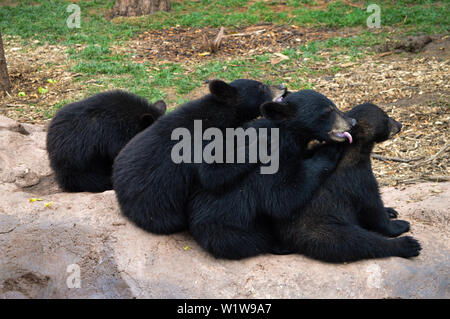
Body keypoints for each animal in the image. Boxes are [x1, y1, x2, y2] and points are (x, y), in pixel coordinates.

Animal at [113, 79, 288, 235]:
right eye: (261, 87)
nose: (283, 86)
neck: (221, 116)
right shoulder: (201, 145)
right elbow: (213, 174)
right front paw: (264, 142)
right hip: (158, 207)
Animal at [186, 90, 356, 260]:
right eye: (327, 111)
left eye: (334, 106)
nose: (352, 122)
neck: (287, 135)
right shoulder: (271, 162)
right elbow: (282, 196)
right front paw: (328, 150)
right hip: (230, 231)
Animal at [274, 104, 422, 264]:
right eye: (386, 118)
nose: (399, 125)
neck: (354, 151)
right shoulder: (357, 178)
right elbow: (372, 207)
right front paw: (399, 224)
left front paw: (391, 210)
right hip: (323, 229)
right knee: (355, 241)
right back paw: (408, 245)